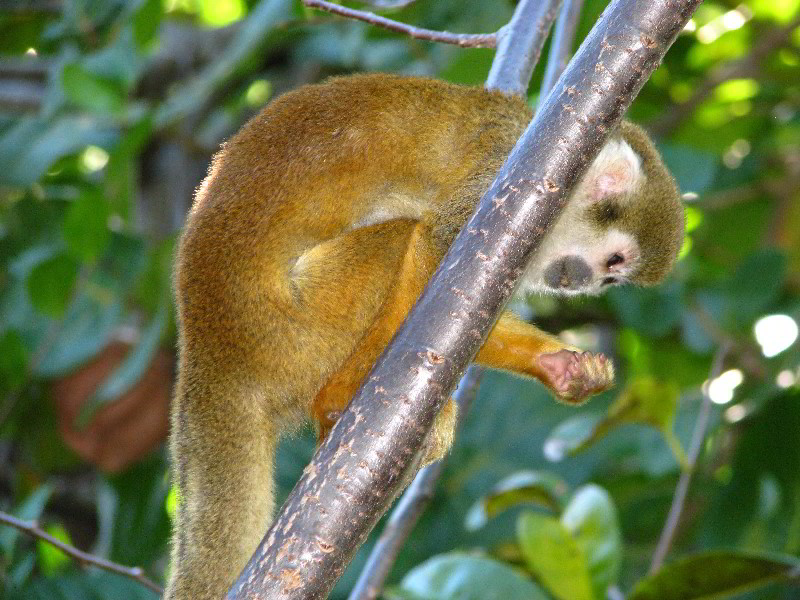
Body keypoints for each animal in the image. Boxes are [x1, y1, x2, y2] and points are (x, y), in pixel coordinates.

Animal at [166, 72, 684, 596]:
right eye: (614, 262)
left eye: (612, 278)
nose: (584, 283)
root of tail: (212, 355)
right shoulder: (504, 174)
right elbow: (436, 251)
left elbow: (468, 303)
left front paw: (559, 366)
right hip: (297, 325)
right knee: (398, 235)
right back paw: (341, 394)